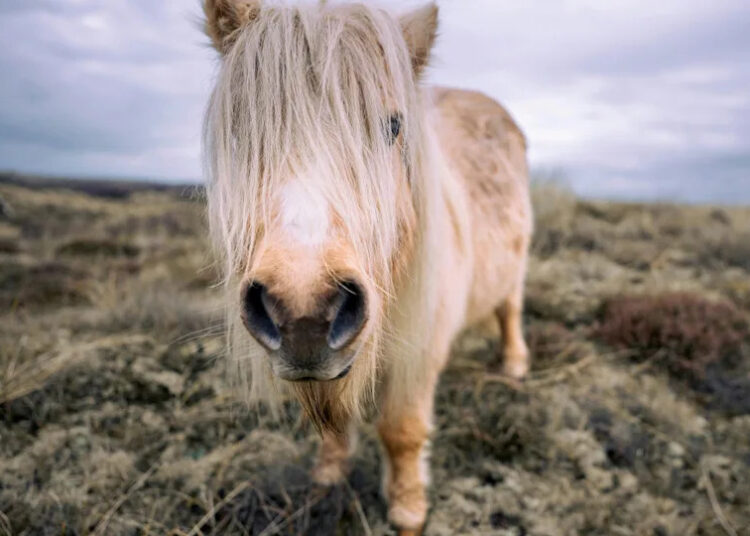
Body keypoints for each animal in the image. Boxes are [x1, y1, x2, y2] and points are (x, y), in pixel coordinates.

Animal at [202, 1, 532, 533]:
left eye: (393, 127)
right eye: (241, 130)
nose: (303, 309)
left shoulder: (422, 349)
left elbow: (402, 430)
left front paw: (408, 509)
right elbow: (334, 427)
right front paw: (328, 477)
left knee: (510, 311)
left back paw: (515, 365)